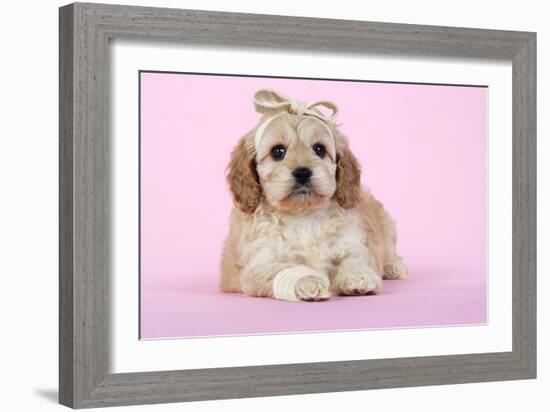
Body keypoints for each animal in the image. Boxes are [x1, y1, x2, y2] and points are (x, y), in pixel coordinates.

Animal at [221, 91, 410, 302]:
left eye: (319, 149)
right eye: (278, 151)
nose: (303, 172)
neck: (304, 216)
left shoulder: (350, 242)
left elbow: (355, 258)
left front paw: (359, 277)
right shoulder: (259, 265)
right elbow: (287, 268)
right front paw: (309, 281)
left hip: (387, 225)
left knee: (389, 250)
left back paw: (394, 267)